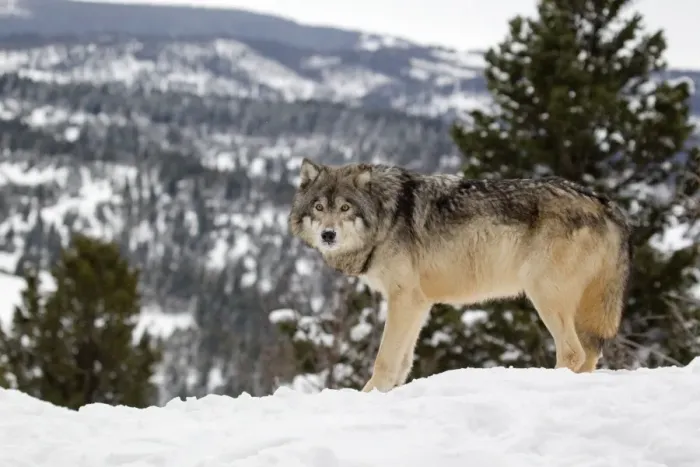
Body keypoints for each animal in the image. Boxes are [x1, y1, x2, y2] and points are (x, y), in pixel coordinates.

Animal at [287, 158, 632, 393]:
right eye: (319, 207)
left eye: (345, 208)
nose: (328, 235)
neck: (386, 216)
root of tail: (606, 204)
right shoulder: (418, 304)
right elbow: (402, 363)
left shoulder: (403, 299)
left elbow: (385, 360)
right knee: (589, 354)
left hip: (545, 296)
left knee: (573, 354)